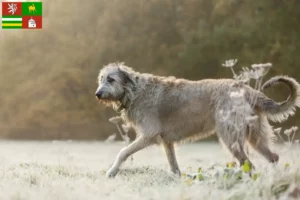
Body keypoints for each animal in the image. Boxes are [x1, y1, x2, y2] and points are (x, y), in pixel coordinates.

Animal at [95, 63, 300, 178]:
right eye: (101, 79)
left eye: (111, 79)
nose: (97, 94)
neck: (134, 91)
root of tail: (247, 90)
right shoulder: (167, 142)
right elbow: (173, 165)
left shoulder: (149, 135)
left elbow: (123, 152)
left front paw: (111, 172)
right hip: (255, 136)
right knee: (273, 157)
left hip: (231, 137)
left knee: (248, 164)